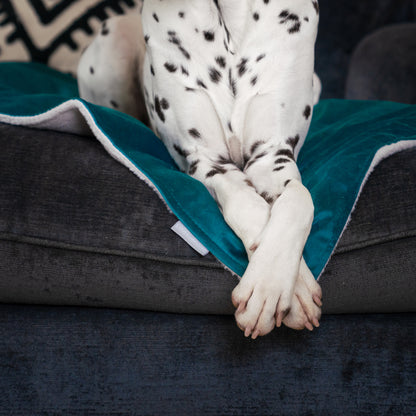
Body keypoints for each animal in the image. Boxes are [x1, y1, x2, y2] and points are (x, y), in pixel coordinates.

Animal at [78, 0, 322, 338]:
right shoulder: (207, 162)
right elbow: (246, 203)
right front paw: (274, 290)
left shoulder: (272, 155)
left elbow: (300, 200)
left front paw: (276, 284)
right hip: (112, 48)